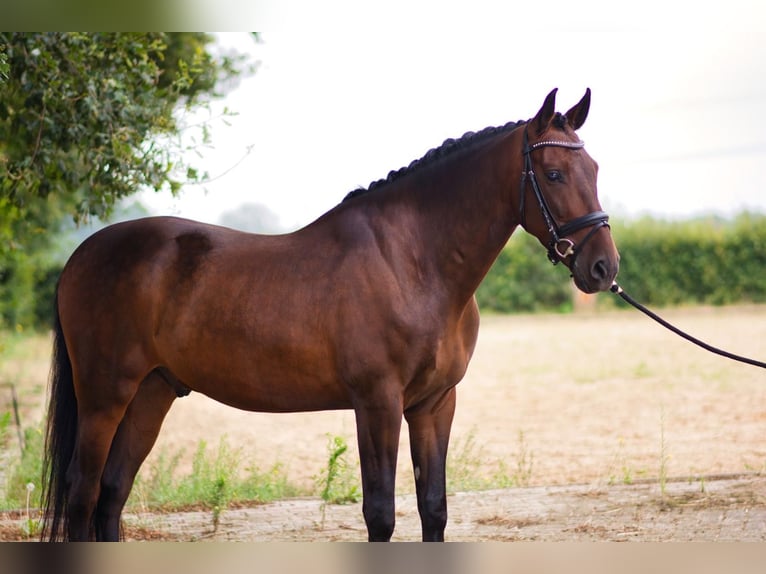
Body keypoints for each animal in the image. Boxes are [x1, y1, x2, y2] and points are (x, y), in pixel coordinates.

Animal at [39, 88, 620, 544]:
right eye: (553, 173)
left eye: (594, 169)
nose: (603, 267)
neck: (411, 261)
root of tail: (80, 255)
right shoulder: (377, 403)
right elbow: (380, 514)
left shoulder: (435, 405)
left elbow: (433, 508)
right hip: (105, 396)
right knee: (82, 492)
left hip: (152, 391)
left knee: (112, 493)